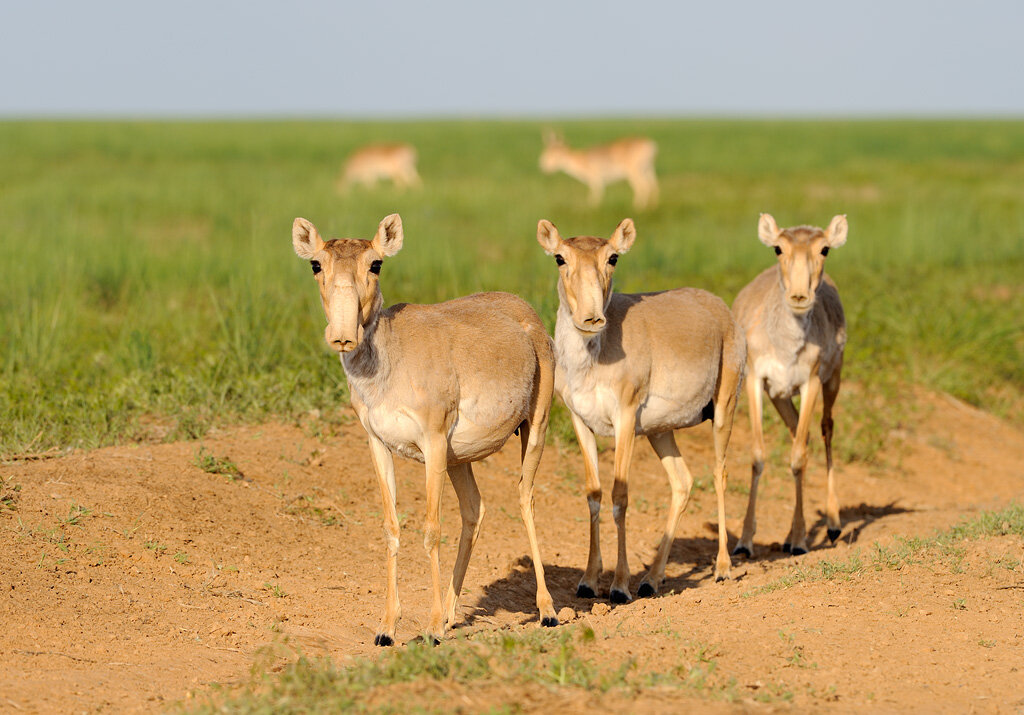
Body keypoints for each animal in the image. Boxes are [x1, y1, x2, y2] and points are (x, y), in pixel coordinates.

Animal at [292, 214, 557, 643]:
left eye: (376, 263)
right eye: (316, 263)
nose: (343, 335)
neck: (390, 360)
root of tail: (526, 312)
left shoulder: (432, 443)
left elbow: (432, 529)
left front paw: (430, 629)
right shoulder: (378, 444)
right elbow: (391, 527)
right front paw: (387, 628)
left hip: (535, 428)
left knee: (525, 498)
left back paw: (546, 611)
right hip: (460, 460)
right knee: (475, 510)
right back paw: (450, 614)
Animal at [536, 217, 745, 602]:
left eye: (612, 257)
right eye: (560, 257)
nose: (591, 319)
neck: (594, 357)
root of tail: (720, 308)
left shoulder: (625, 420)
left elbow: (620, 496)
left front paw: (619, 586)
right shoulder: (580, 421)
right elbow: (594, 493)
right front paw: (588, 581)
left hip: (724, 408)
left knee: (720, 474)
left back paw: (723, 567)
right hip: (660, 432)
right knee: (683, 482)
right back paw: (652, 578)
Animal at [733, 213, 851, 557]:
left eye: (824, 248)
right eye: (778, 248)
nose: (799, 296)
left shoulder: (811, 381)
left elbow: (798, 457)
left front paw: (800, 540)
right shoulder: (757, 381)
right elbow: (758, 455)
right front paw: (744, 541)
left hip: (833, 379)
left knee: (825, 429)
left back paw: (833, 524)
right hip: (780, 397)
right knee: (802, 432)